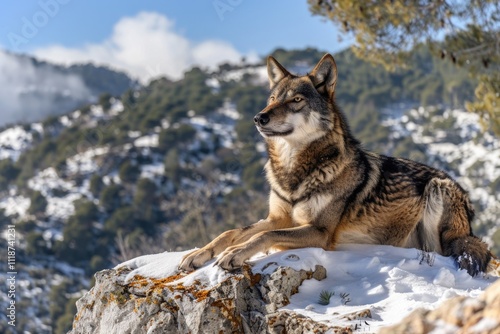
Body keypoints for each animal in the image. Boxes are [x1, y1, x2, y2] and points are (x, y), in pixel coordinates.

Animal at [180, 52, 496, 276]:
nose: (259, 117)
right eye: (272, 98)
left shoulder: (319, 231)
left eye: (295, 100)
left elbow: (265, 235)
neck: (294, 172)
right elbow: (233, 231)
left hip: (436, 189)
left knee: (440, 251)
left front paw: (234, 253)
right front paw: (198, 254)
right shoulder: (278, 216)